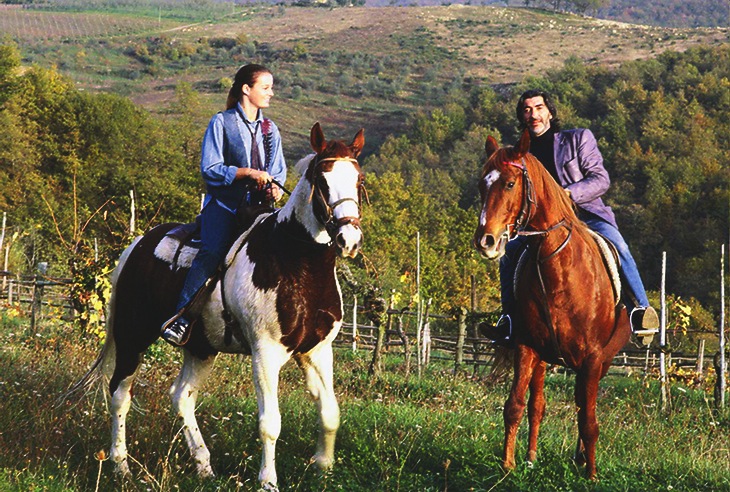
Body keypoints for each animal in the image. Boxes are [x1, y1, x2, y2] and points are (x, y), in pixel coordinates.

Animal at [69, 123, 364, 492]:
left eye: (359, 180)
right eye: (322, 181)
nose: (349, 240)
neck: (297, 265)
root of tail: (137, 246)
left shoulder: (317, 351)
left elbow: (329, 413)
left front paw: (324, 469)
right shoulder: (265, 353)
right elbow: (270, 423)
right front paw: (268, 481)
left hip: (200, 347)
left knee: (181, 396)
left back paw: (203, 466)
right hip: (131, 336)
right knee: (120, 393)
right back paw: (121, 466)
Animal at [472, 131, 624, 480]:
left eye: (510, 183)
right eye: (482, 185)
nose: (486, 241)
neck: (558, 267)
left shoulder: (592, 359)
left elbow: (588, 419)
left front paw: (592, 475)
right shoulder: (527, 347)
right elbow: (515, 405)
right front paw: (508, 464)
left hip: (600, 362)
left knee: (583, 406)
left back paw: (581, 459)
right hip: (543, 359)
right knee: (537, 405)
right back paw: (530, 457)